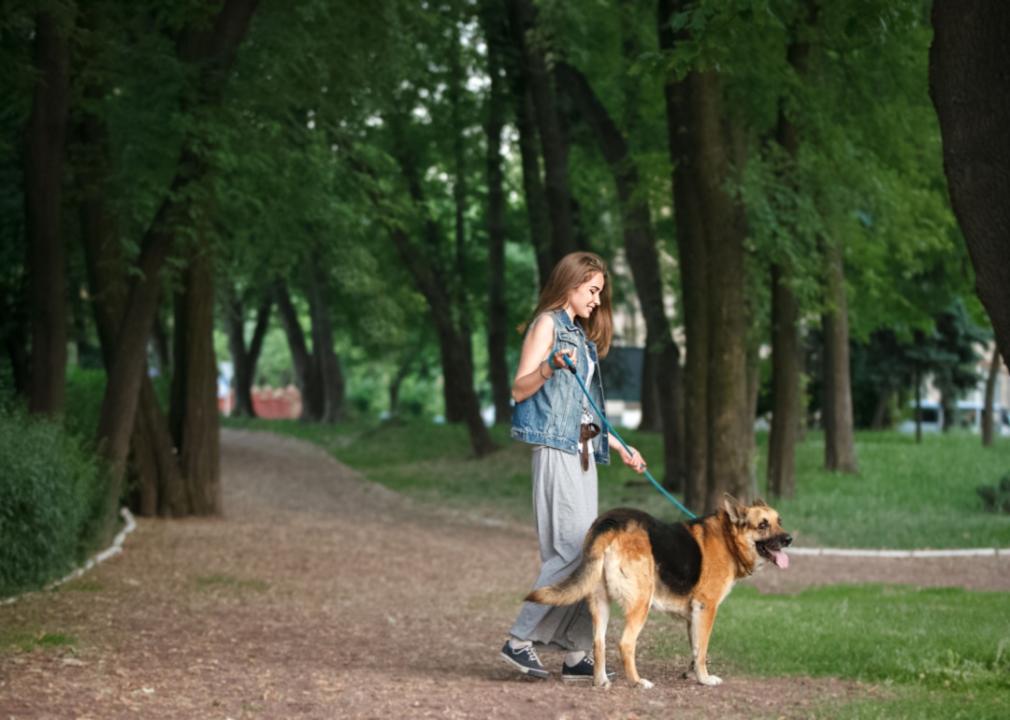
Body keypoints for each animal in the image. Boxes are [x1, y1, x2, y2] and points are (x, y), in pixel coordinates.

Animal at [525, 494, 791, 686]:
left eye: (779, 521)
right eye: (763, 525)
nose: (789, 539)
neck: (728, 539)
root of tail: (611, 522)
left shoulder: (693, 615)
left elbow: (695, 648)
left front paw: (692, 674)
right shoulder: (706, 608)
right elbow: (702, 649)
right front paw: (704, 679)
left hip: (600, 604)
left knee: (599, 644)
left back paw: (600, 682)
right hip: (641, 603)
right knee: (625, 644)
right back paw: (637, 682)